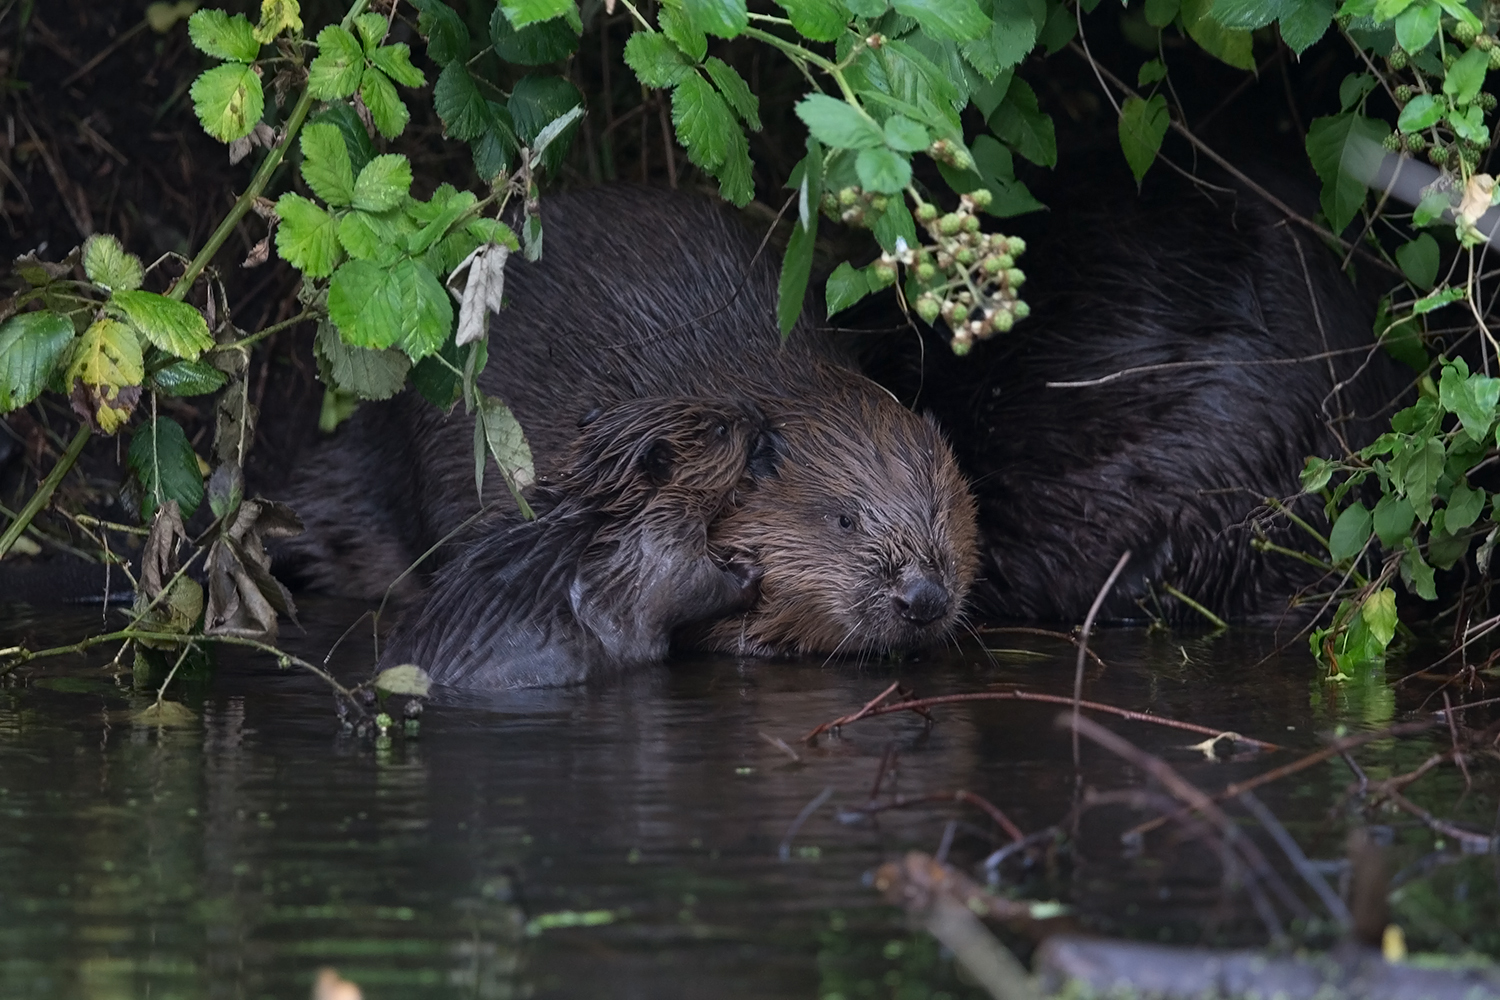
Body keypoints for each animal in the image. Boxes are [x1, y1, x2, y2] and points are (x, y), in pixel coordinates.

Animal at [384, 395, 774, 689]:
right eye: (721, 429)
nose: (755, 410)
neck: (609, 507)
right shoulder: (655, 547)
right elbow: (691, 587)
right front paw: (748, 571)